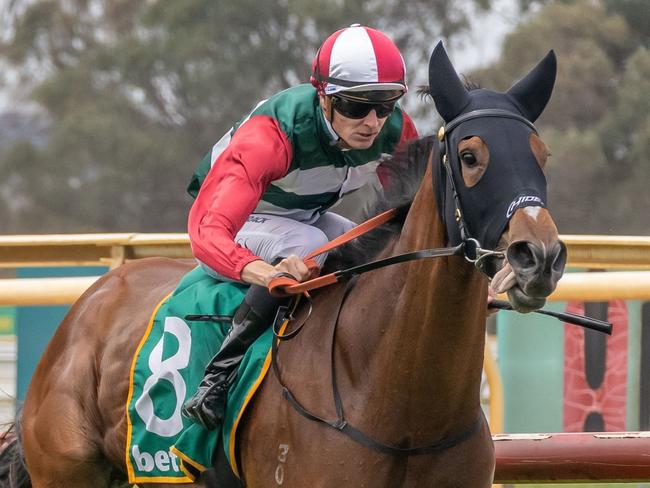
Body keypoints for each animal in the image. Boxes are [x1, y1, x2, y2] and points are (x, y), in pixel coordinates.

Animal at [3, 43, 560, 488]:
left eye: (543, 154)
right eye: (470, 156)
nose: (539, 256)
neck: (403, 413)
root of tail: (89, 303)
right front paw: (279, 277)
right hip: (68, 472)